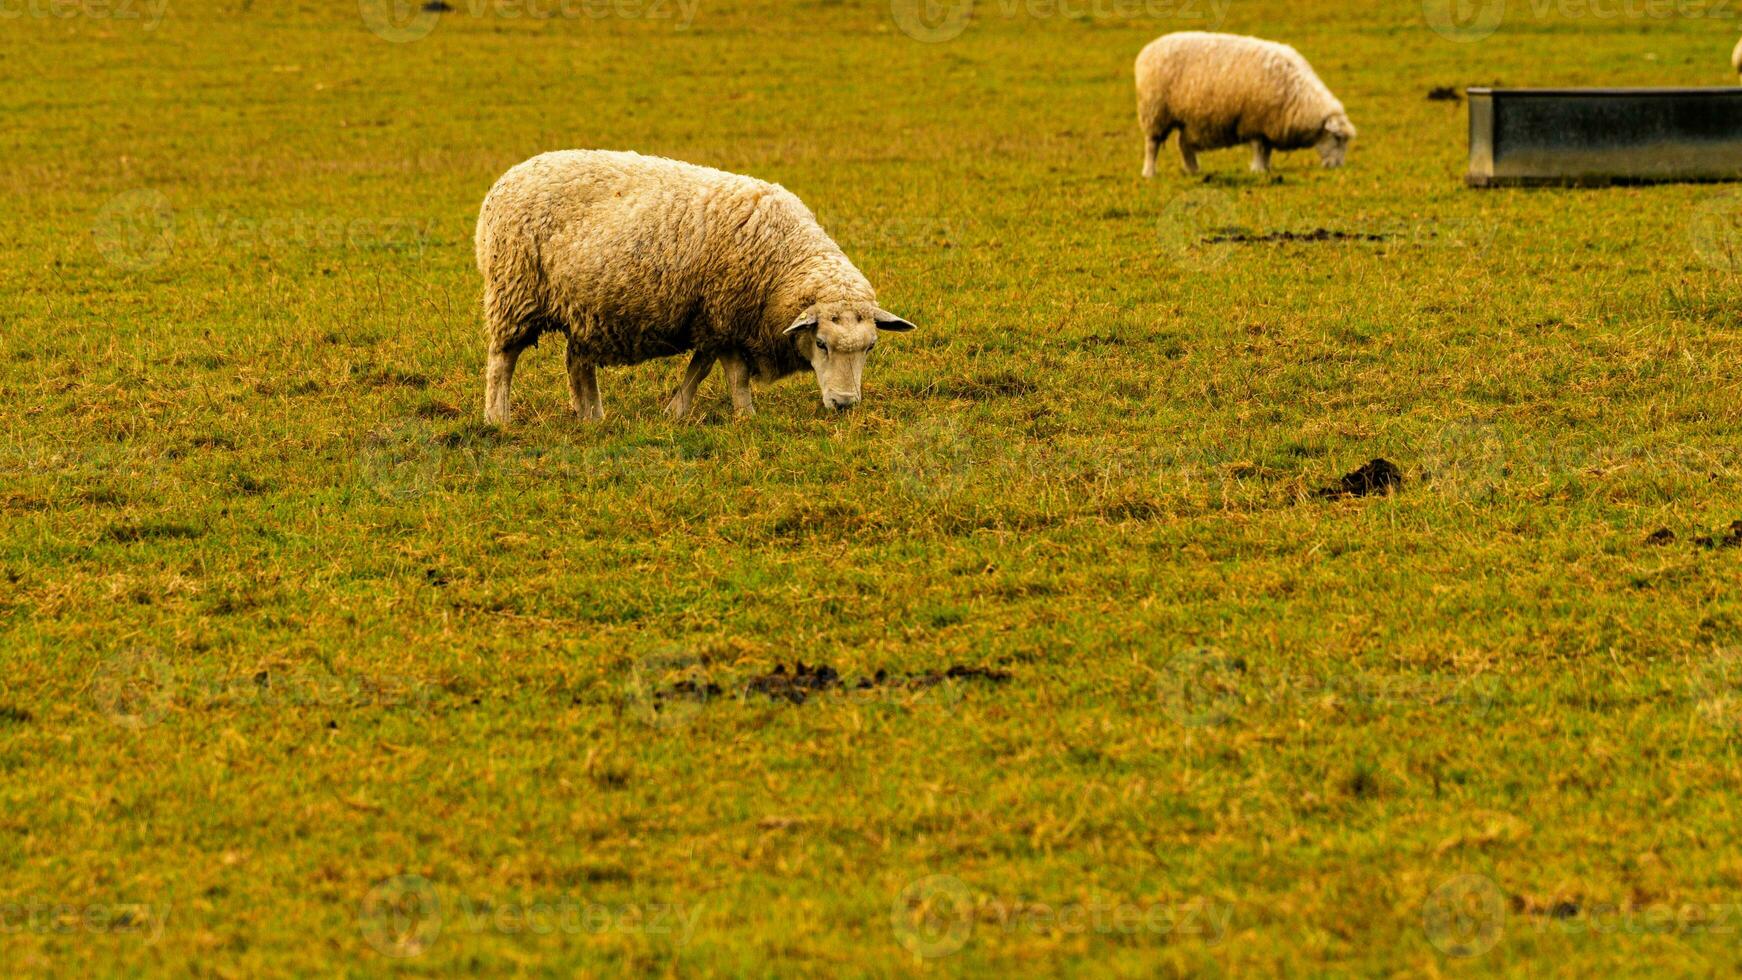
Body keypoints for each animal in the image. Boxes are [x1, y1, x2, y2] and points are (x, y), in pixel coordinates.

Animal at [470, 151, 919, 428]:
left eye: (870, 347)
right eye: (821, 343)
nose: (844, 405)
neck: (783, 259)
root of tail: (506, 178)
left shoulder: (712, 319)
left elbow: (699, 367)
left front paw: (675, 410)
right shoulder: (725, 315)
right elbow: (733, 375)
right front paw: (745, 416)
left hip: (586, 307)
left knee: (578, 363)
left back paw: (592, 417)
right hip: (514, 291)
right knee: (502, 360)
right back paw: (498, 418)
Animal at [1135, 32, 1351, 178]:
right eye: (1337, 138)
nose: (1338, 167)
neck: (1299, 98)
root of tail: (1148, 49)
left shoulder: (1267, 124)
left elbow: (1267, 149)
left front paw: (1266, 168)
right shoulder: (1254, 121)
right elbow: (1259, 148)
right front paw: (1258, 169)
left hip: (1187, 118)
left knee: (1183, 144)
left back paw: (1193, 170)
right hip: (1155, 111)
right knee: (1152, 144)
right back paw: (1149, 172)